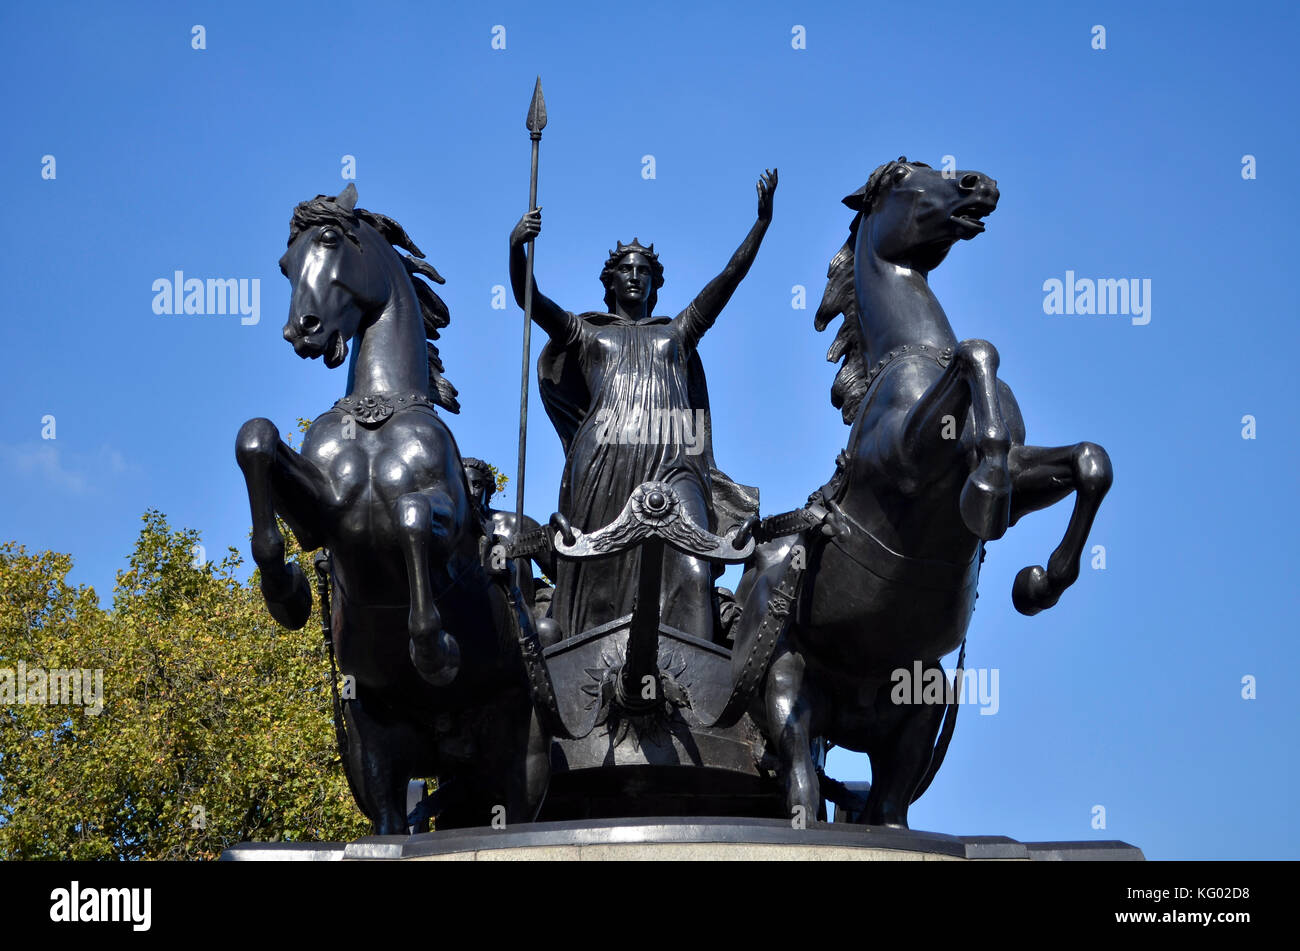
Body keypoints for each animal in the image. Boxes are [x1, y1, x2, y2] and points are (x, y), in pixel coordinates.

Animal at [236, 185, 546, 831]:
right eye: (284, 264)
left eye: (330, 241)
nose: (301, 331)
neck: (379, 409)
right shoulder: (323, 512)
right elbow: (255, 438)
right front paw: (287, 591)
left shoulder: (448, 521)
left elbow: (410, 521)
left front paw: (436, 651)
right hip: (370, 742)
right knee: (387, 818)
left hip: (522, 749)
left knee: (517, 808)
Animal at [738, 155, 1112, 826]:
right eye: (899, 178)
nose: (979, 185)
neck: (917, 353)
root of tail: (849, 709)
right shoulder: (908, 460)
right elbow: (978, 351)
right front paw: (986, 491)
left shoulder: (1026, 476)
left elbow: (1088, 462)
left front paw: (1039, 583)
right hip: (784, 686)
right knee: (802, 782)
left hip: (923, 705)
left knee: (888, 806)